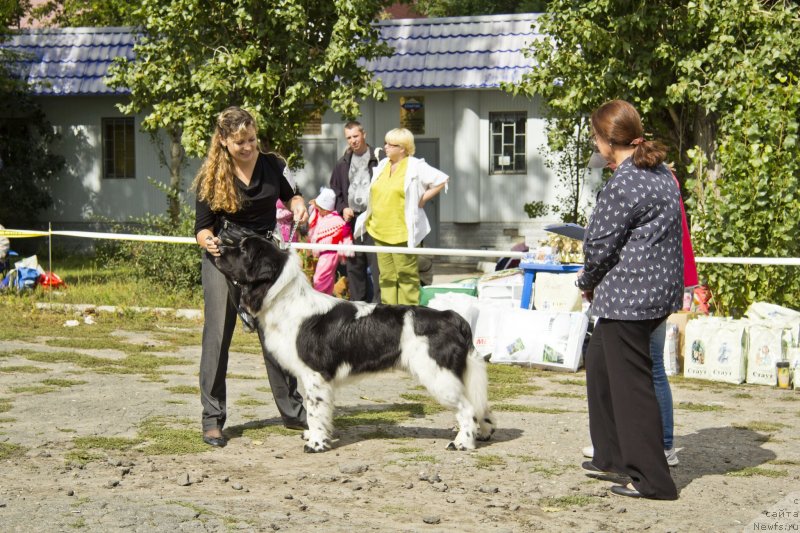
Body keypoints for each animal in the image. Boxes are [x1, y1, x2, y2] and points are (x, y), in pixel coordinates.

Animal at [216, 231, 496, 450]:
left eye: (243, 249)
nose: (217, 246)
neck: (287, 300)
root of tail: (452, 317)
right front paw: (314, 435)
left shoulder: (315, 374)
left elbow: (315, 410)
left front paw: (316, 443)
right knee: (479, 406)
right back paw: (482, 433)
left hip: (439, 375)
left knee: (467, 408)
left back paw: (462, 443)